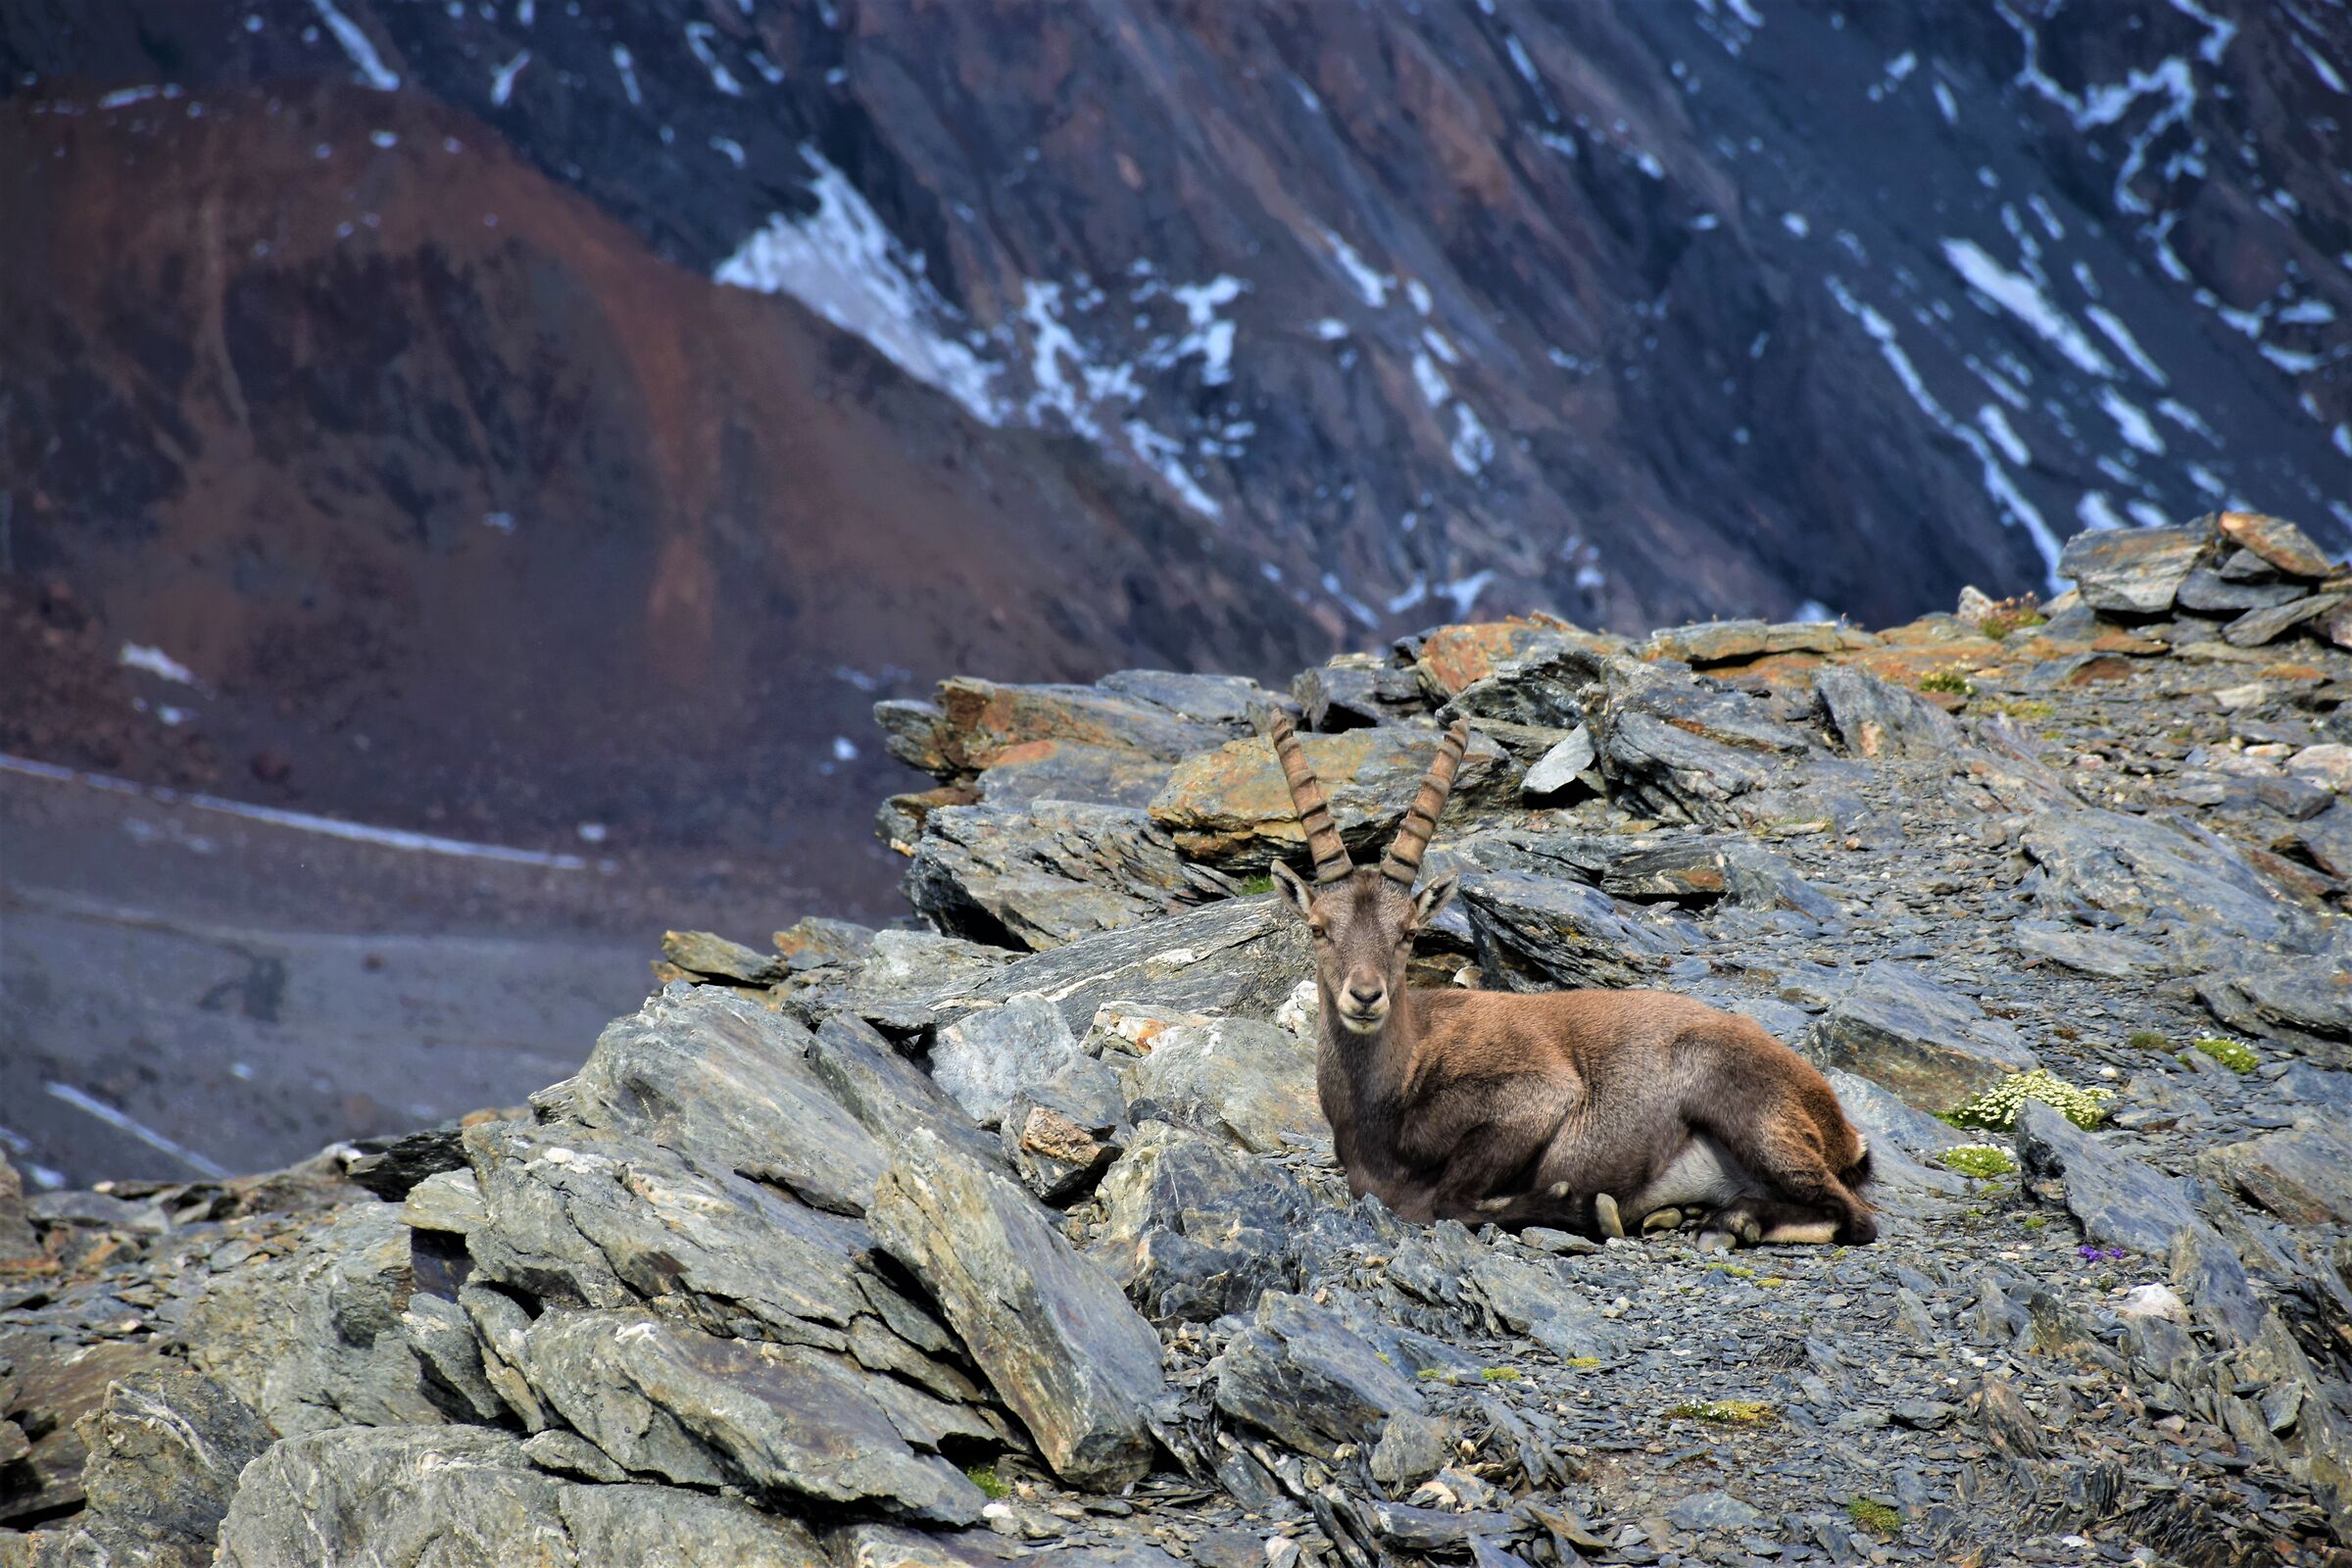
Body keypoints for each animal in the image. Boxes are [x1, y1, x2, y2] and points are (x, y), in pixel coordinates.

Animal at [1264, 714, 1875, 1247]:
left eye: (1409, 933)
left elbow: (1451, 1199)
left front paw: (1584, 1209)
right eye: (1318, 928)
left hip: (1743, 1100)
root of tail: (1843, 1128)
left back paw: (1729, 1224)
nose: (1366, 996)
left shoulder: (1539, 1095)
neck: (1389, 1097)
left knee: (1854, 1217)